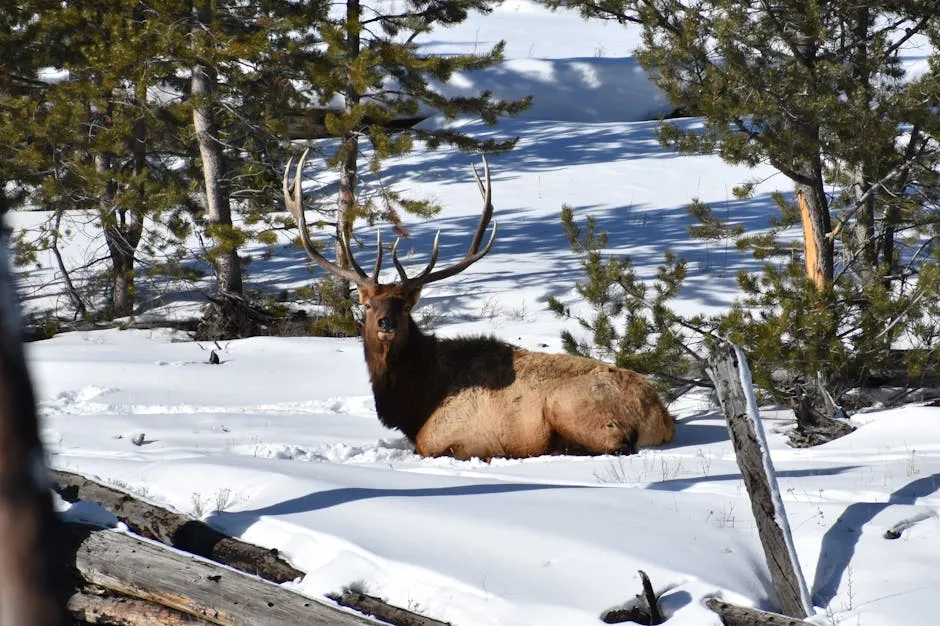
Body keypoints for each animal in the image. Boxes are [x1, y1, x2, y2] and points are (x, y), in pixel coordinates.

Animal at [282, 148, 672, 456]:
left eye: (405, 306)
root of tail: (661, 416)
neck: (416, 400)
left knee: (614, 444)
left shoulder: (452, 435)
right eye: (367, 304)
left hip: (570, 405)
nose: (385, 323)